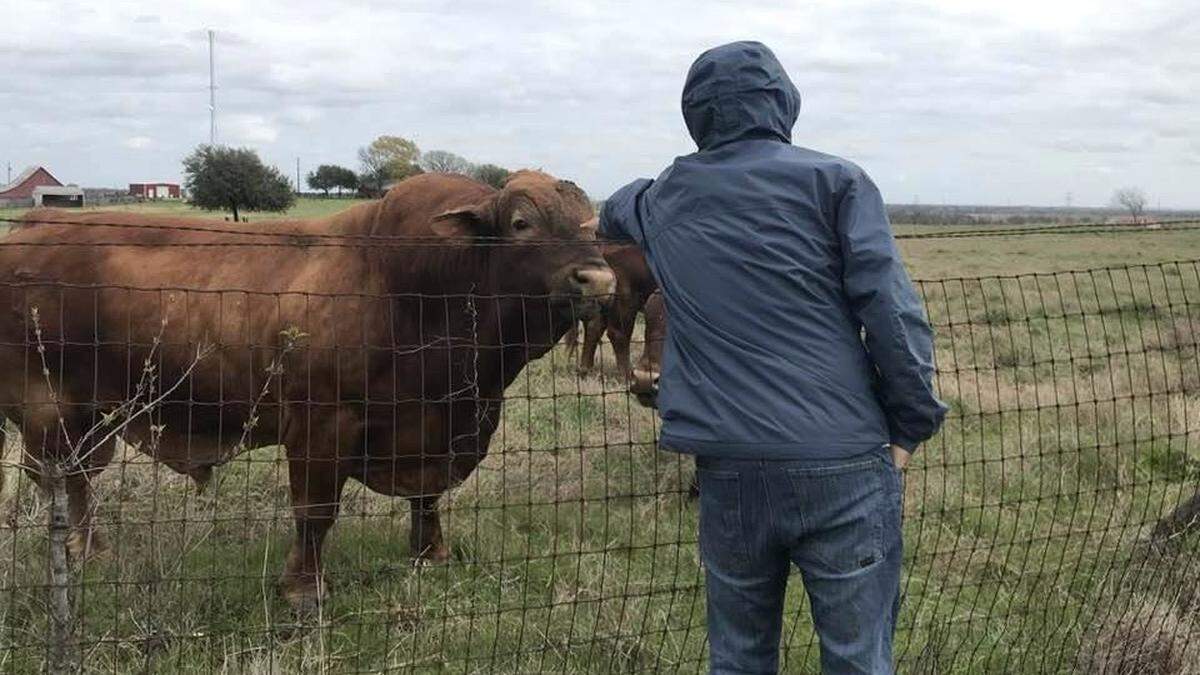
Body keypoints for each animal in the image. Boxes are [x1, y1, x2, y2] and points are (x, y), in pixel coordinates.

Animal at [0, 170, 615, 611]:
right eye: (521, 223)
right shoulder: (322, 425)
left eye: (591, 225)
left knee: (80, 479)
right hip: (50, 410)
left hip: (94, 416)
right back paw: (78, 554)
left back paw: (90, 552)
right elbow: (316, 512)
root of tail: (30, 227)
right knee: (61, 479)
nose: (599, 280)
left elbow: (427, 499)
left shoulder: (436, 431)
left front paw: (432, 554)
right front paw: (303, 590)